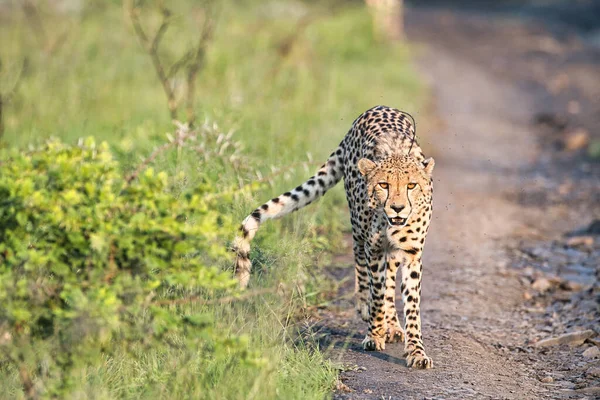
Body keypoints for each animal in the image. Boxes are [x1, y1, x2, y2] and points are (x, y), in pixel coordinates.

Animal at [232, 104, 434, 368]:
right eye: (384, 185)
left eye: (411, 185)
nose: (397, 208)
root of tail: (377, 108)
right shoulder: (374, 248)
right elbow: (378, 294)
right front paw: (374, 334)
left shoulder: (411, 252)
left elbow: (411, 304)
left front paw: (416, 351)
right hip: (359, 229)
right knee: (360, 260)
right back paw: (367, 308)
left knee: (389, 276)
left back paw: (392, 326)